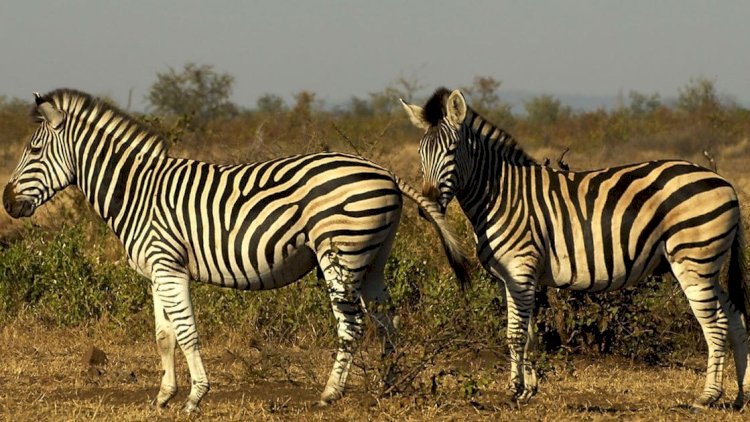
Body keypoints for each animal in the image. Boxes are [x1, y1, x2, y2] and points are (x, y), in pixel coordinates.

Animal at [2, 89, 470, 412]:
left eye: (34, 150)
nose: (7, 203)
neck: (136, 192)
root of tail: (385, 171)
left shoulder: (170, 266)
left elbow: (186, 333)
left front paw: (195, 397)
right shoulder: (157, 271)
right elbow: (163, 336)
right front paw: (163, 396)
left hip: (341, 254)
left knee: (352, 325)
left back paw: (329, 394)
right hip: (374, 258)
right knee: (388, 321)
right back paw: (386, 386)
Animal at [400, 87, 750, 410]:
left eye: (452, 150)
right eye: (420, 152)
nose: (426, 206)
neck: (501, 194)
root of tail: (725, 182)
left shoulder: (521, 268)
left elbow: (516, 333)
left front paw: (514, 391)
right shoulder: (510, 278)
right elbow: (525, 333)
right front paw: (527, 389)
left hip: (693, 259)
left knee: (716, 324)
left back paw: (708, 397)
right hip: (707, 264)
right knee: (736, 318)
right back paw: (740, 396)